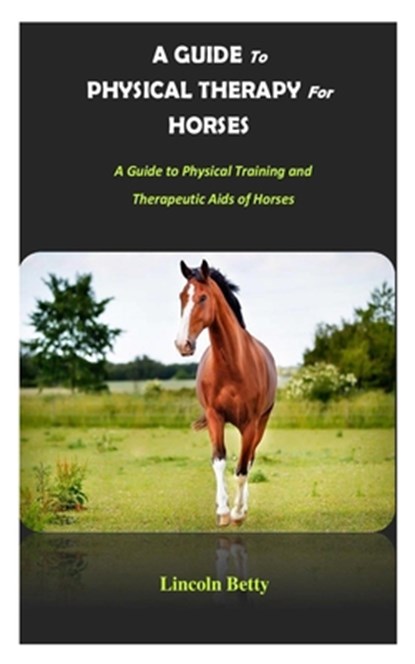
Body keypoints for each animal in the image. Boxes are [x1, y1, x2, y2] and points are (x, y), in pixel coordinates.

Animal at [175, 259, 277, 526]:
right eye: (182, 297)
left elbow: (241, 469)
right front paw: (222, 511)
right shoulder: (215, 417)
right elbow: (219, 461)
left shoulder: (251, 423)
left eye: (202, 297)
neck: (232, 365)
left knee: (248, 461)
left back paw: (243, 508)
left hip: (259, 425)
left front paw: (238, 513)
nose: (182, 344)